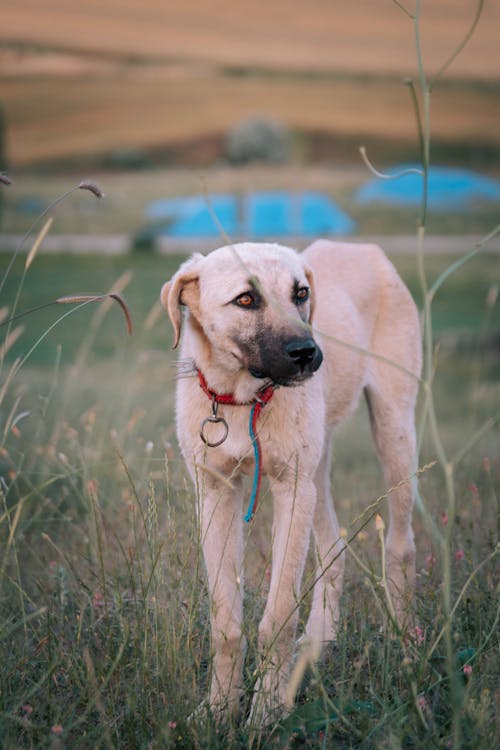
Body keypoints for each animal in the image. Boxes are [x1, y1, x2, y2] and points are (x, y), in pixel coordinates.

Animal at [161, 241, 422, 724]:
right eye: (246, 299)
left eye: (300, 293)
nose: (307, 352)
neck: (241, 399)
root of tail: (364, 246)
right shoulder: (216, 493)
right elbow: (225, 624)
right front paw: (219, 709)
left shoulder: (292, 489)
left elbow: (278, 615)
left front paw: (267, 711)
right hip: (318, 466)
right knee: (334, 547)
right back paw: (320, 642)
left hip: (394, 430)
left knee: (401, 546)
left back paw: (406, 642)